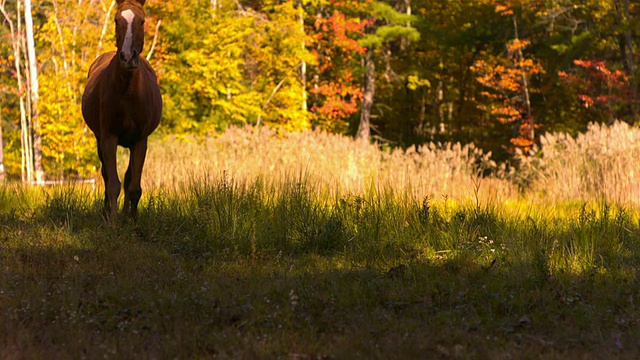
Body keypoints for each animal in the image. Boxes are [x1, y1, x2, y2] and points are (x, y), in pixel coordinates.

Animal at [81, 0, 161, 221]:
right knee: (107, 176)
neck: (128, 92)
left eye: (142, 21)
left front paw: (132, 219)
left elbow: (133, 186)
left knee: (128, 178)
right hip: (99, 139)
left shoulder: (140, 141)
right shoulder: (108, 137)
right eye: (117, 20)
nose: (127, 57)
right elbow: (113, 184)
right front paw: (114, 221)